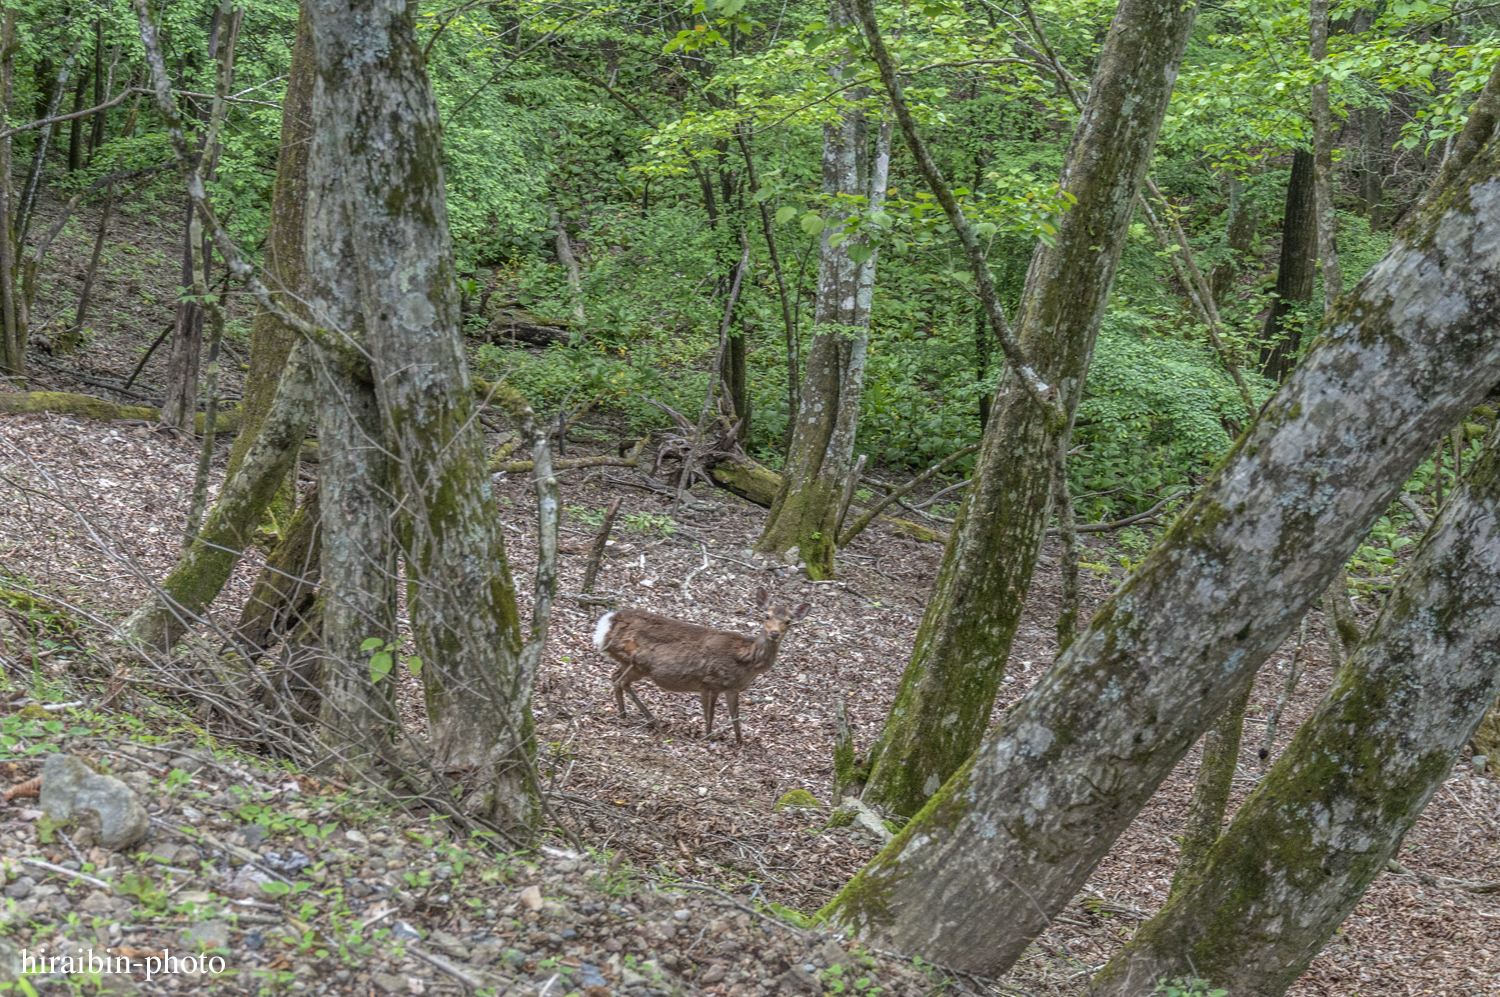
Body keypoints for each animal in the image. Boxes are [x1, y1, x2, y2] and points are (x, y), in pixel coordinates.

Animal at [594, 587, 816, 743]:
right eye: (766, 615)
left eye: (788, 621)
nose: (774, 633)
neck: (745, 662)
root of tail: (607, 623)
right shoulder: (710, 681)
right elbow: (710, 712)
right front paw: (708, 736)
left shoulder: (731, 688)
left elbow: (735, 716)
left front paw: (740, 742)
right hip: (639, 663)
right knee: (621, 681)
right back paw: (652, 720)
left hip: (627, 662)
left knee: (614, 677)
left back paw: (624, 715)